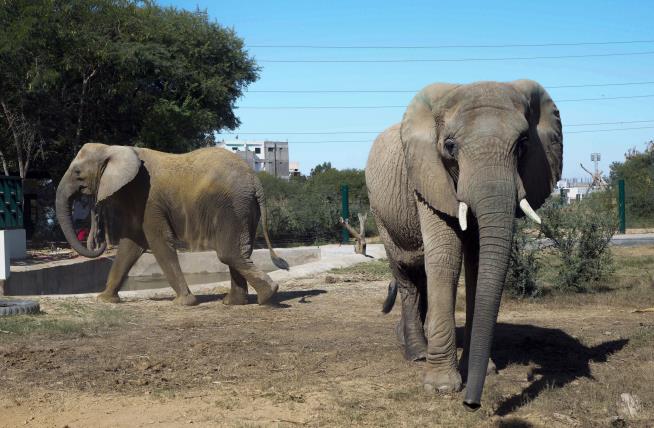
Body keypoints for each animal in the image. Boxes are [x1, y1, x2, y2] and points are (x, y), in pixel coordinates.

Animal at [57, 145, 290, 306]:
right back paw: (234, 302)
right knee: (239, 252)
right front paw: (105, 299)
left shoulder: (149, 199)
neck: (113, 148)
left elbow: (158, 241)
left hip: (233, 206)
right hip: (245, 209)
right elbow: (131, 244)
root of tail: (255, 181)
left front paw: (183, 303)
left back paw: (267, 296)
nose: (97, 239)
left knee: (229, 253)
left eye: (77, 173)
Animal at [368, 78, 564, 410]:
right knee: (406, 275)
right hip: (380, 213)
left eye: (523, 144)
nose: (472, 403)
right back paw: (417, 353)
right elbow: (446, 256)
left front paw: (485, 371)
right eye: (450, 146)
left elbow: (477, 259)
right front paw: (441, 387)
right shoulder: (429, 178)